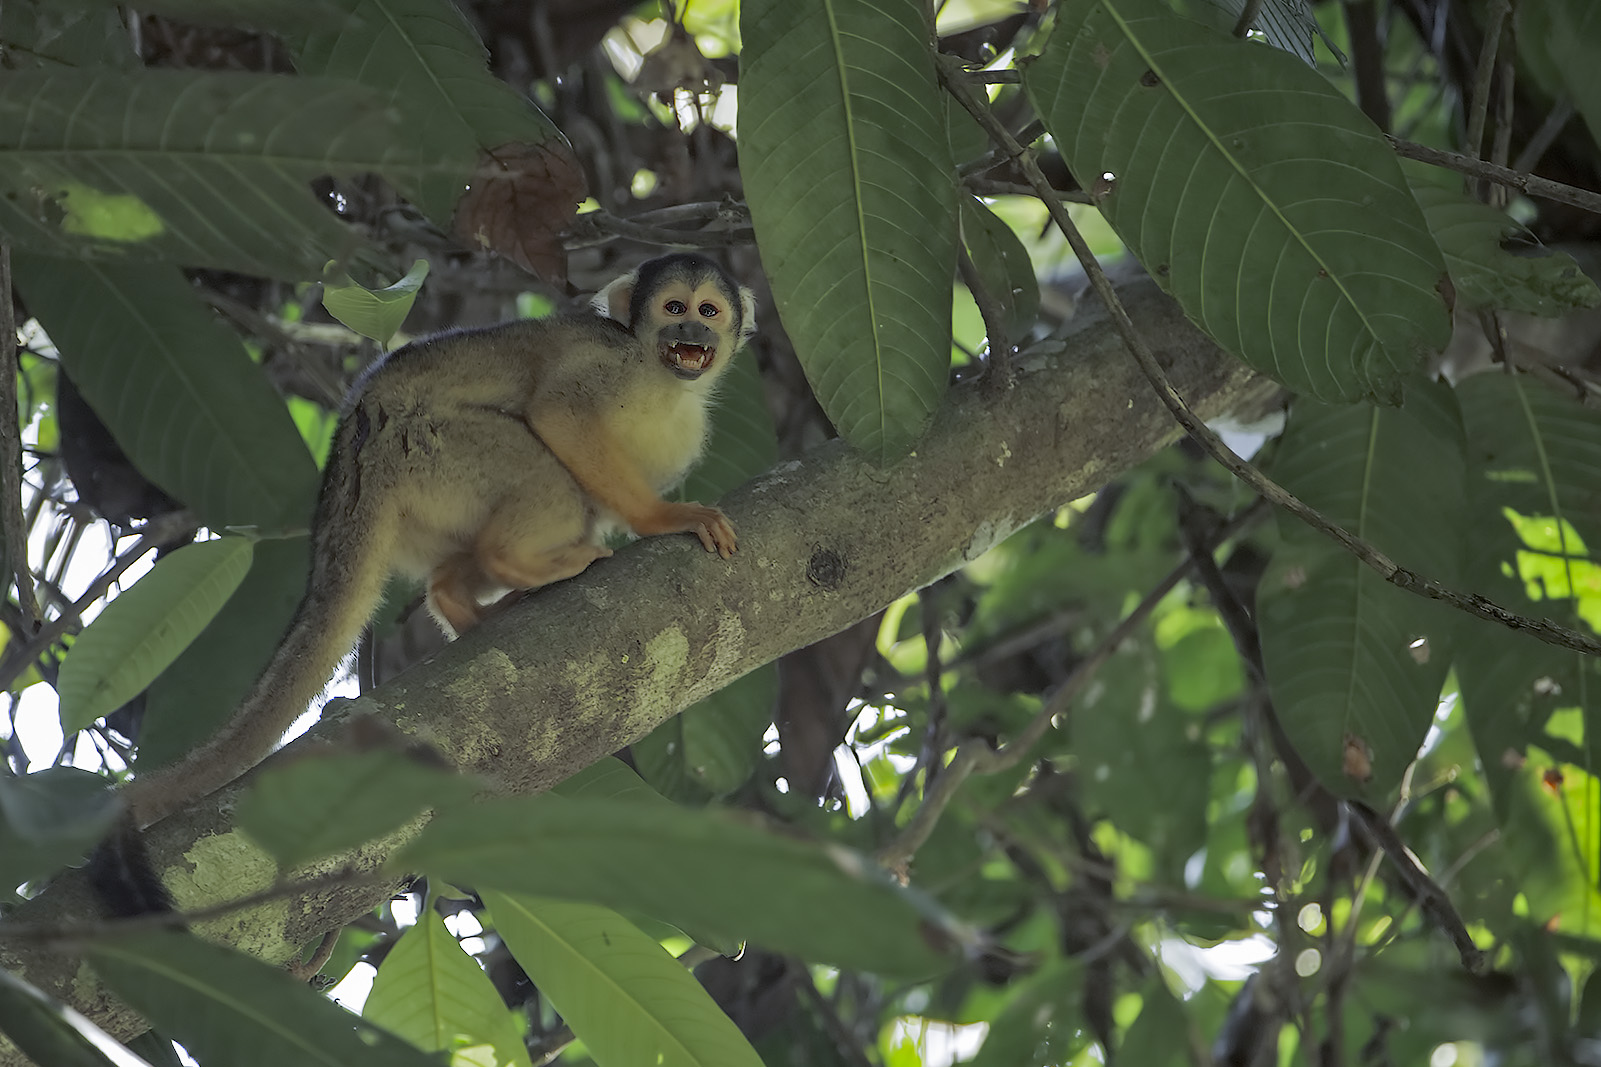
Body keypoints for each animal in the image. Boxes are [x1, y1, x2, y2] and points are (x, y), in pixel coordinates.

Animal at [120, 253, 756, 829]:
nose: (692, 334)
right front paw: (661, 517)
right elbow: (561, 411)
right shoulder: (611, 363)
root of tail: (355, 446)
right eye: (673, 309)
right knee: (548, 476)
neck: (663, 380)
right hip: (430, 444)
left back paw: (460, 596)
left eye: (708, 311)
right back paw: (516, 562)